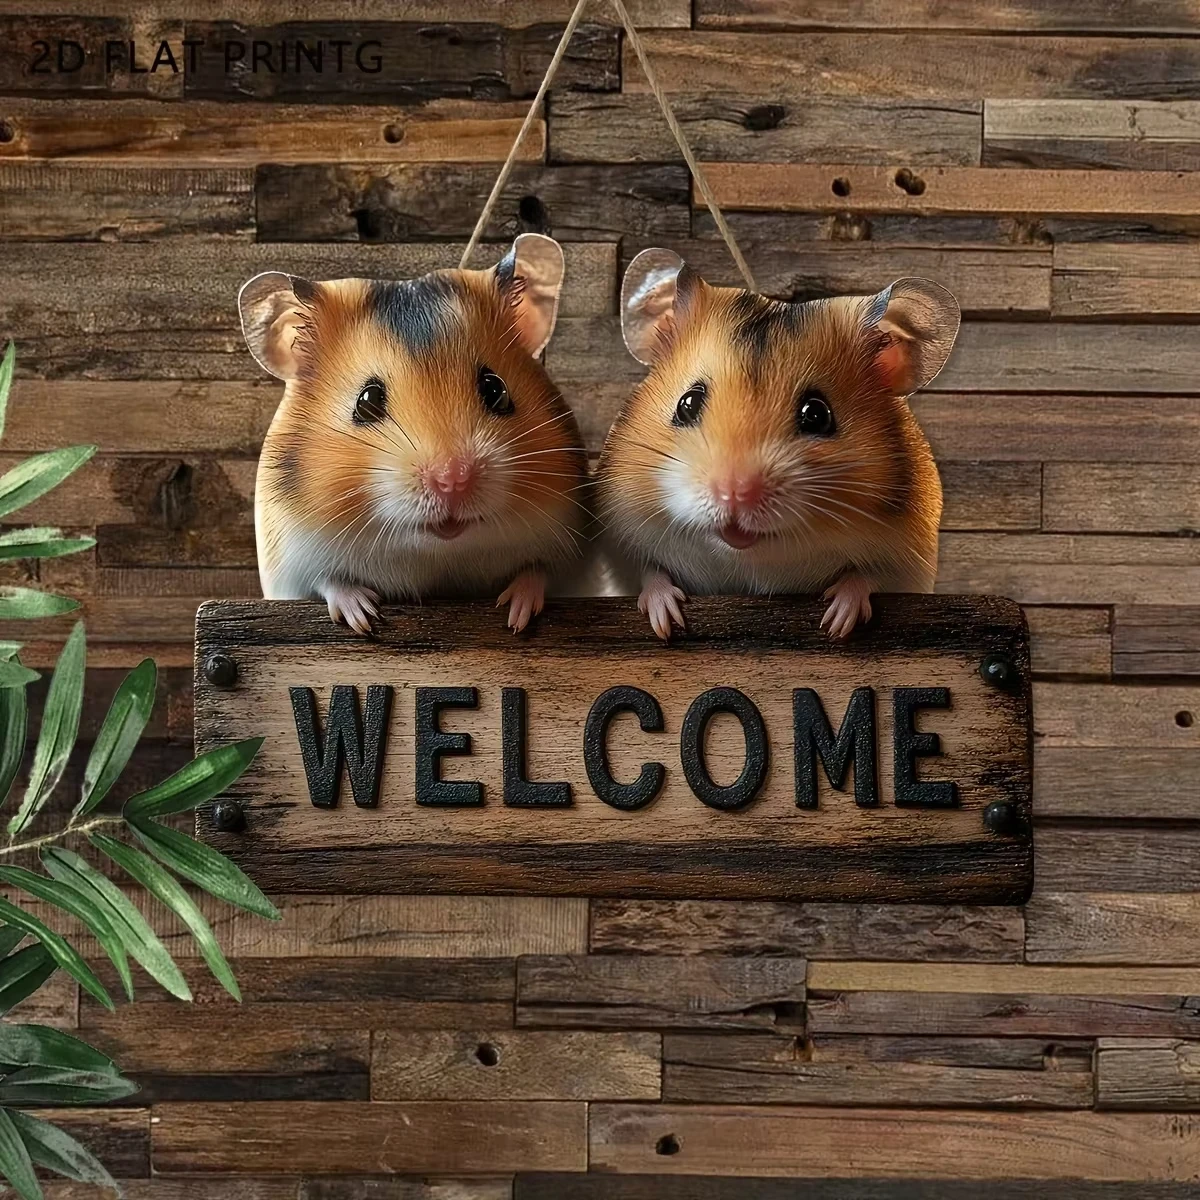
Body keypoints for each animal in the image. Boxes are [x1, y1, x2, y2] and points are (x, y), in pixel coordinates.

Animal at [239, 233, 589, 634]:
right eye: (366, 401)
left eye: (496, 389)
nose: (452, 480)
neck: (437, 553)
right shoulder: (293, 559)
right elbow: (330, 582)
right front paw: (366, 619)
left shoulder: (566, 550)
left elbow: (538, 572)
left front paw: (515, 616)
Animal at [596, 248, 960, 640]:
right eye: (687, 403)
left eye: (817, 414)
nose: (736, 494)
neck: (747, 559)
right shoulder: (623, 539)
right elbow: (650, 573)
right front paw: (667, 623)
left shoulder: (909, 559)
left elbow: (865, 578)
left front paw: (835, 624)